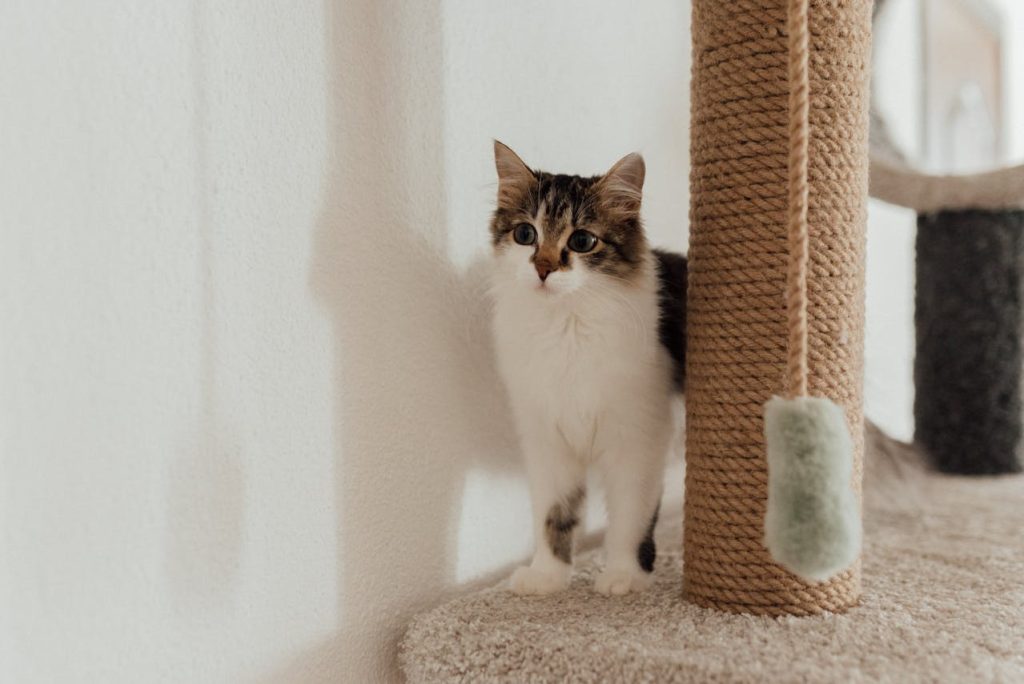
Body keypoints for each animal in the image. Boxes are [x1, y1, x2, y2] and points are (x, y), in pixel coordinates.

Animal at [489, 140, 688, 593]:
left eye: (582, 240)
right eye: (525, 234)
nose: (543, 268)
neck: (567, 327)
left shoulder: (640, 438)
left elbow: (631, 516)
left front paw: (624, 575)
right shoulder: (546, 440)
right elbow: (554, 514)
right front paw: (547, 576)